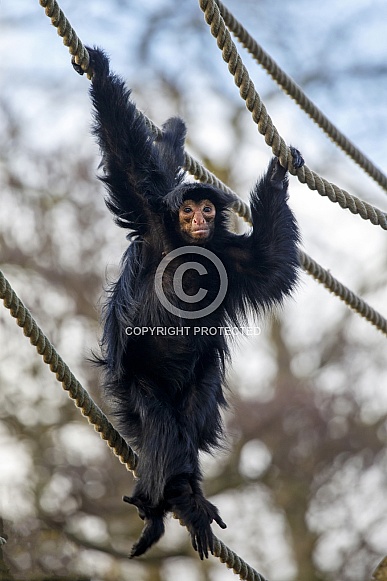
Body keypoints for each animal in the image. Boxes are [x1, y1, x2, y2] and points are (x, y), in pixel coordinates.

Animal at [74, 47, 304, 560]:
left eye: (207, 209)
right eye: (187, 209)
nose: (200, 216)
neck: (186, 243)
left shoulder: (231, 256)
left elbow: (271, 265)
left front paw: (278, 172)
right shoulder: (151, 217)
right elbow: (128, 160)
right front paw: (99, 68)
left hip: (198, 379)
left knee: (192, 417)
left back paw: (185, 495)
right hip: (135, 382)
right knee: (162, 427)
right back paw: (167, 499)